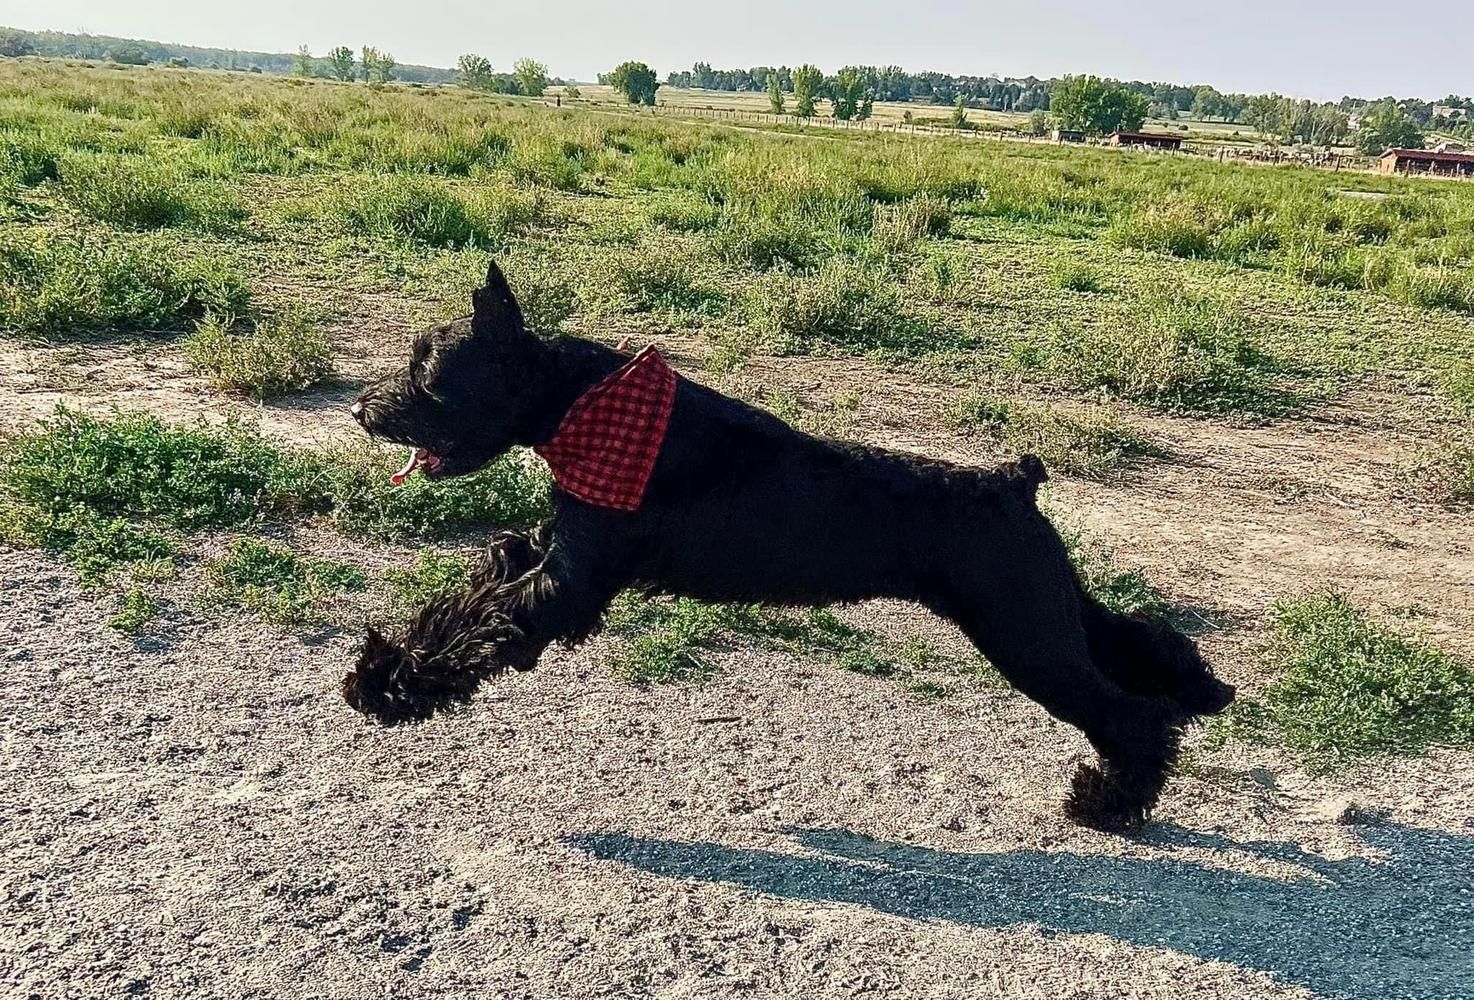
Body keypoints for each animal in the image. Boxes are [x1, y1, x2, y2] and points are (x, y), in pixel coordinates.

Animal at [344, 262, 1232, 831]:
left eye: (427, 373)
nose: (360, 409)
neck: (579, 406)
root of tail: (1014, 480)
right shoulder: (546, 556)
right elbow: (470, 598)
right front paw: (376, 667)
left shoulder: (565, 585)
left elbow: (477, 627)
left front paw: (388, 687)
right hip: (1050, 613)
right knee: (1138, 642)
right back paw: (1201, 698)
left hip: (1027, 640)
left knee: (1125, 712)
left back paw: (1109, 804)